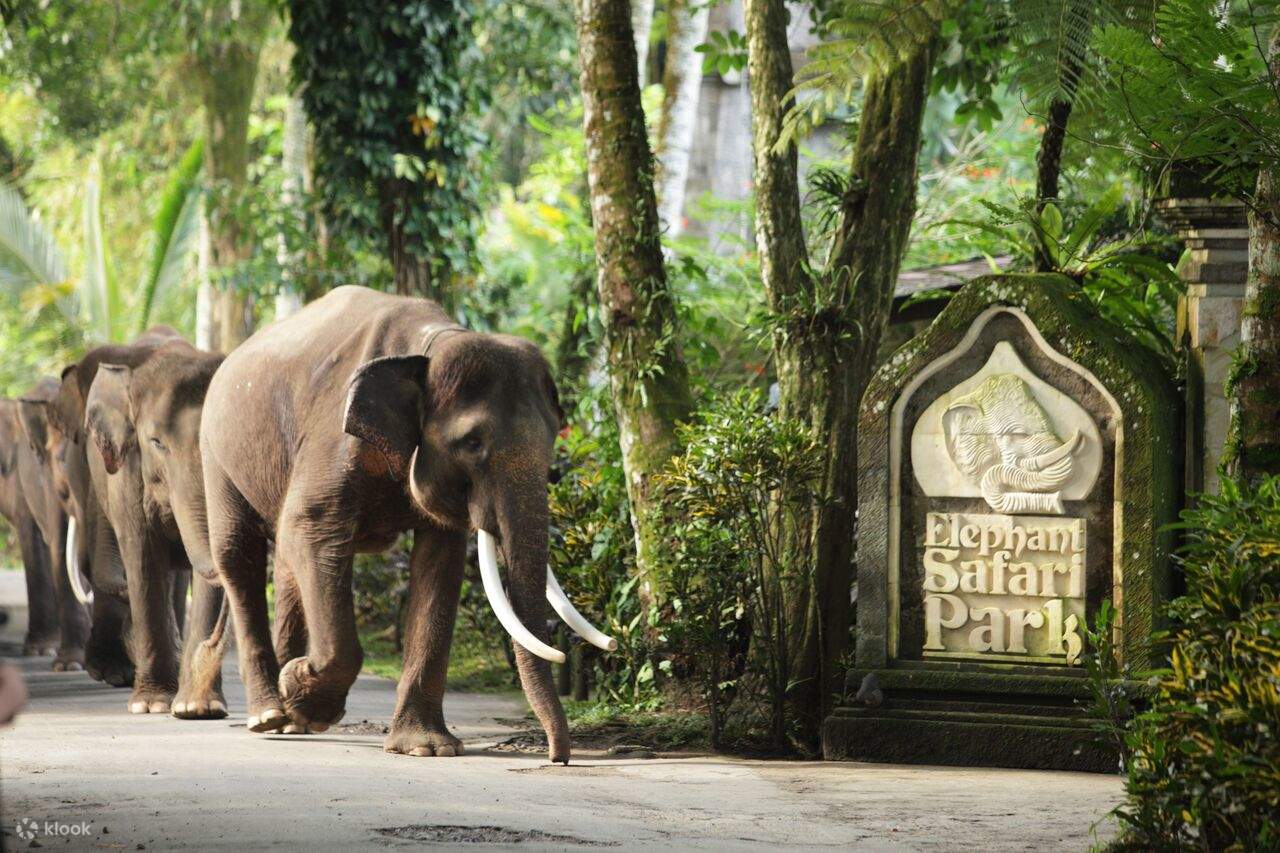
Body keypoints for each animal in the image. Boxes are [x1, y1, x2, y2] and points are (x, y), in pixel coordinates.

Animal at [200, 285, 612, 761]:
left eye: (552, 440)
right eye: (473, 443)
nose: (557, 756)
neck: (430, 345)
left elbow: (439, 560)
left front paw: (425, 749)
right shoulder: (332, 436)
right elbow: (311, 528)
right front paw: (305, 693)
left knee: (285, 565)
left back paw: (289, 720)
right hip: (216, 453)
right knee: (239, 555)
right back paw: (269, 714)